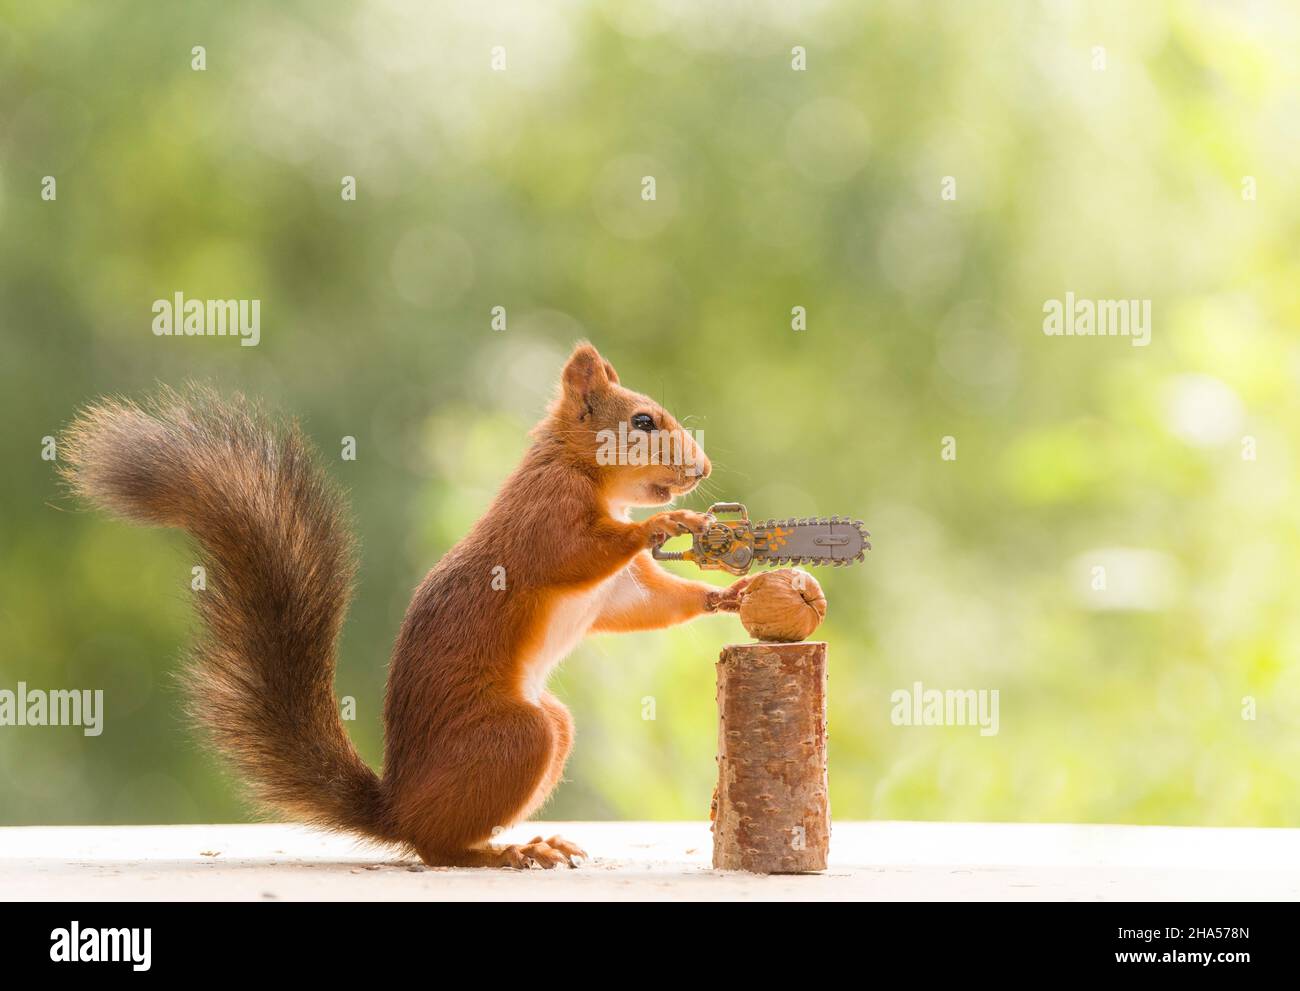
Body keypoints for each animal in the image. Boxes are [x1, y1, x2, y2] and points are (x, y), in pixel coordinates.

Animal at [61, 340, 748, 863]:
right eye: (642, 423)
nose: (704, 467)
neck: (588, 477)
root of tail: (397, 809)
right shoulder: (545, 519)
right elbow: (575, 554)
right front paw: (667, 524)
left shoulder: (619, 591)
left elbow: (647, 604)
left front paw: (728, 594)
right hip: (515, 736)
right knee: (436, 847)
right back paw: (501, 853)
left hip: (547, 726)